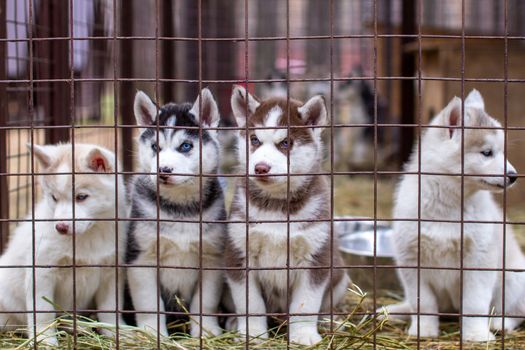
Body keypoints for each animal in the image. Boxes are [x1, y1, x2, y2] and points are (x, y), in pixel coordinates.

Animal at [0, 144, 126, 346]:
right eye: (54, 197)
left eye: (81, 197)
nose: (60, 227)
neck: (86, 237)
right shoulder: (41, 272)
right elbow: (43, 311)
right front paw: (45, 340)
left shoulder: (111, 272)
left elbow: (109, 309)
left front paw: (116, 333)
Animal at [128, 89, 226, 338]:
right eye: (155, 147)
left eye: (186, 146)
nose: (163, 170)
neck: (180, 210)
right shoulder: (141, 258)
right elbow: (149, 303)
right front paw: (153, 333)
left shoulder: (211, 259)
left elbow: (205, 302)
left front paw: (206, 331)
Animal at [384, 89, 520, 342]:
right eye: (487, 153)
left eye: (502, 152)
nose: (514, 175)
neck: (447, 206)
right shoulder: (411, 261)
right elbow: (423, 303)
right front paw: (423, 331)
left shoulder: (479, 260)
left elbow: (475, 304)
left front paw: (477, 335)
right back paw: (396, 310)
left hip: (514, 279)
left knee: (514, 310)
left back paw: (501, 323)